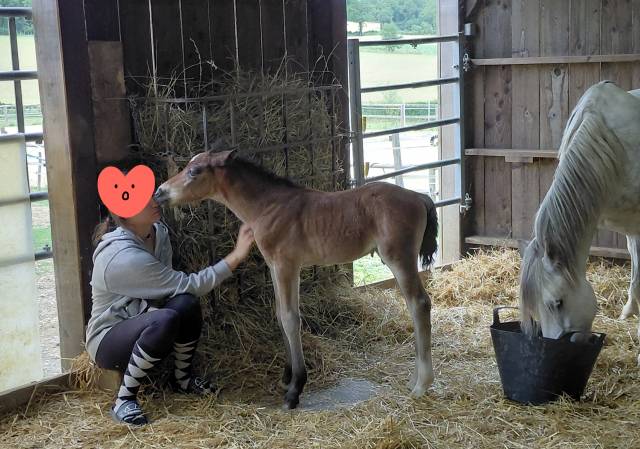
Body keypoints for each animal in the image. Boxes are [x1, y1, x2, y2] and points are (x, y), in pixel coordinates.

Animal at [154, 149, 439, 409]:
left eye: (194, 171)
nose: (159, 192)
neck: (267, 207)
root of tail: (418, 196)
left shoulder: (286, 265)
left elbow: (291, 319)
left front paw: (295, 389)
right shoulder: (276, 267)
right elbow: (280, 315)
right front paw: (287, 376)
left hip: (398, 258)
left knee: (419, 304)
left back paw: (421, 384)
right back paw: (413, 379)